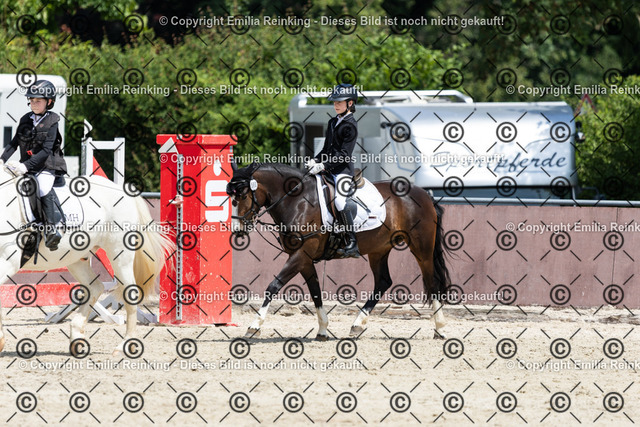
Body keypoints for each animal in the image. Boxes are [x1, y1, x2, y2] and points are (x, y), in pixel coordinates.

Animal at [0, 166, 174, 356]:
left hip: (120, 254)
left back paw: (125, 345)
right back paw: (77, 337)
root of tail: (122, 190)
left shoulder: (8, 261)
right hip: (75, 258)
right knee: (95, 287)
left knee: (130, 293)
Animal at [226, 162, 451, 340]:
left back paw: (440, 328)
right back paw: (357, 325)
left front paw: (254, 326)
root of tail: (423, 194)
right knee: (383, 281)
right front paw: (323, 330)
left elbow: (273, 286)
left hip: (421, 247)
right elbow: (316, 292)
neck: (297, 201)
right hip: (379, 249)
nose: (238, 231)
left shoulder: (301, 255)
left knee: (431, 281)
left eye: (243, 194)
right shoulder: (304, 258)